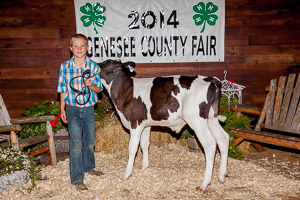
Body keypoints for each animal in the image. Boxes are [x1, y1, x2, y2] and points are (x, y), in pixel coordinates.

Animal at [98, 59, 230, 191]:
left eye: (107, 63)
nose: (95, 65)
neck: (127, 90)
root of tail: (211, 80)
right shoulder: (145, 125)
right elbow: (144, 144)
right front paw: (144, 167)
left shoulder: (135, 123)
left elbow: (132, 148)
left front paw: (126, 174)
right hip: (211, 118)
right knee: (223, 139)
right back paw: (222, 176)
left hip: (197, 120)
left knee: (210, 144)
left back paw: (204, 183)